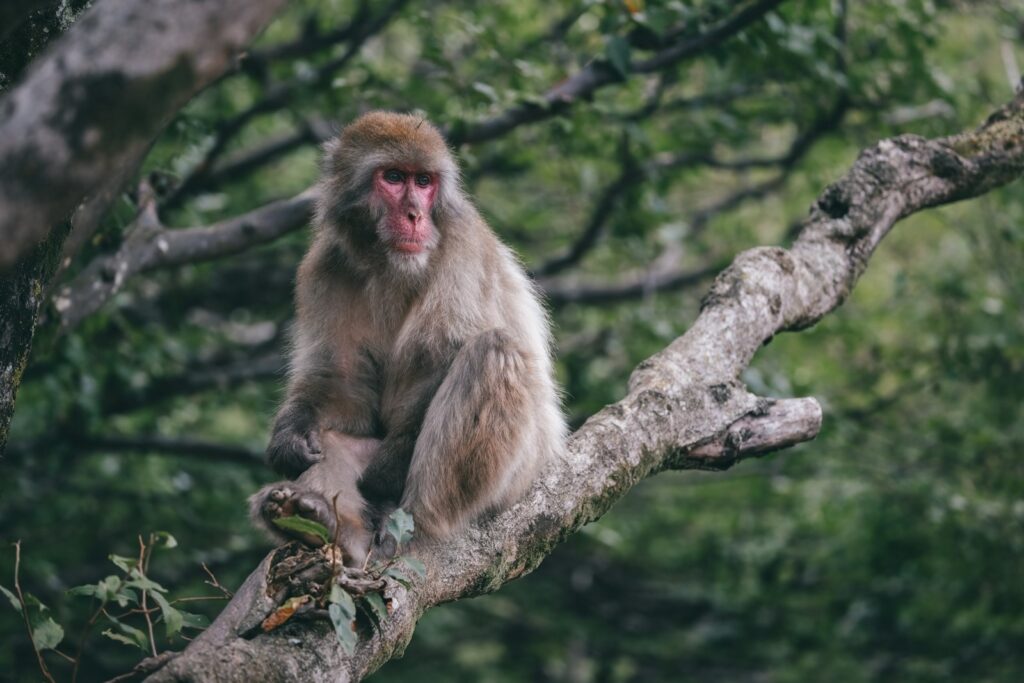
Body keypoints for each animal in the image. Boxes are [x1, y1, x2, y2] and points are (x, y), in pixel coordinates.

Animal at [249, 111, 569, 565]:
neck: (389, 263)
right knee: (335, 441)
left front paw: (383, 482)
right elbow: (338, 381)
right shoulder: (325, 265)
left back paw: (414, 525)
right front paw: (290, 438)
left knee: (494, 351)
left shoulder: (461, 245)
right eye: (395, 177)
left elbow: (437, 360)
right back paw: (327, 524)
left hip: (519, 475)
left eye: (424, 181)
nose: (417, 214)